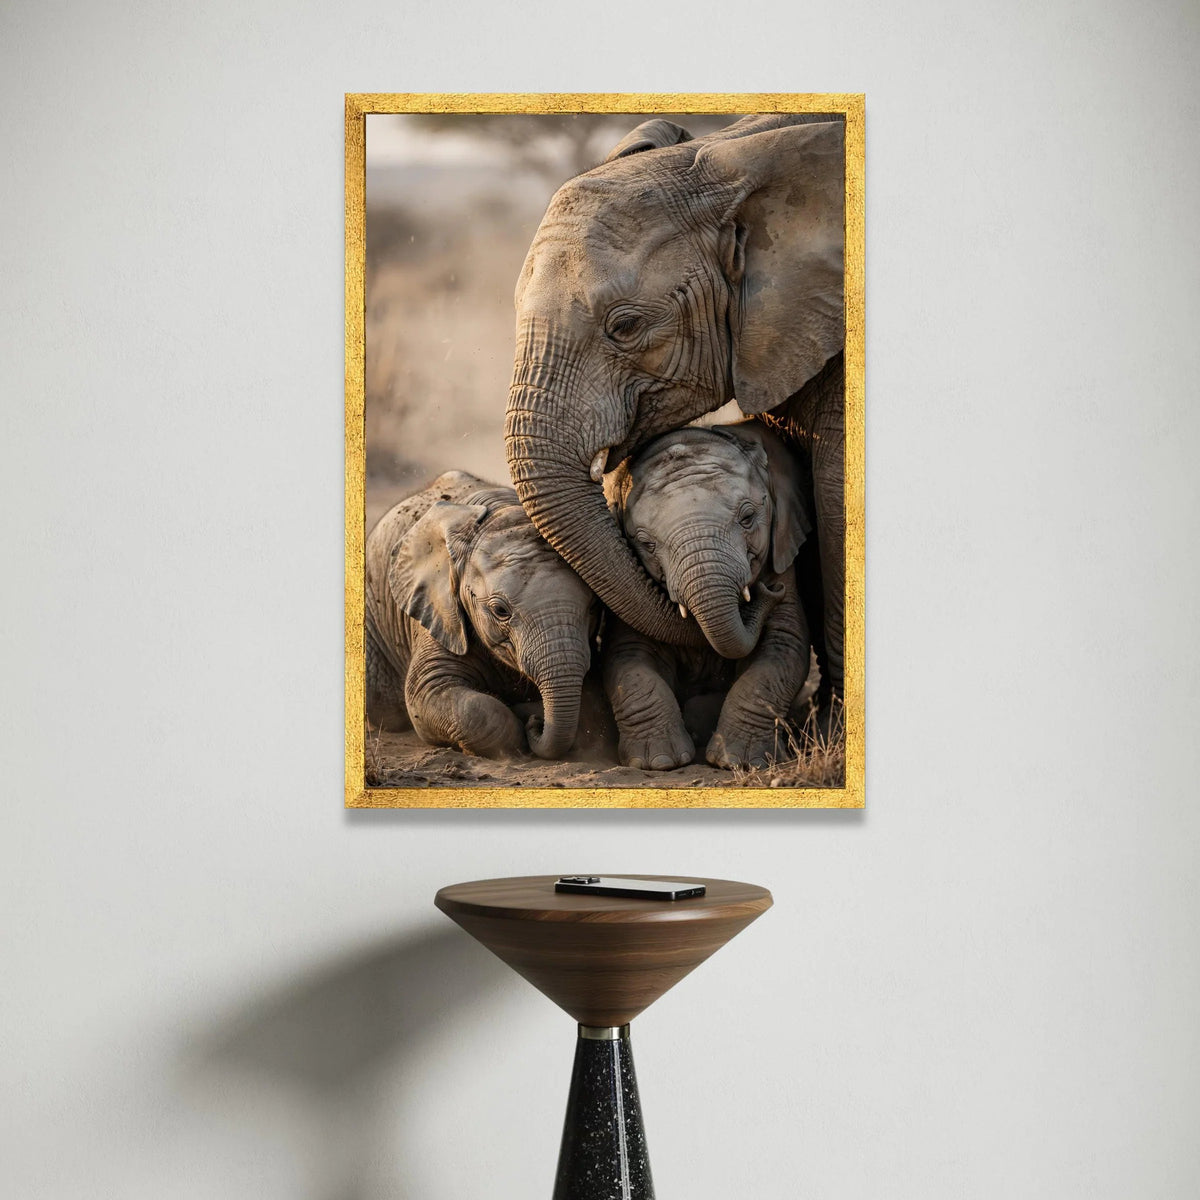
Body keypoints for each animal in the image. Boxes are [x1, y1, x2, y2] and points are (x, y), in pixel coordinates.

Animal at [364, 471, 598, 759]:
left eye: (593, 607)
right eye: (500, 611)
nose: (538, 722)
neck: (502, 512)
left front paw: (528, 710)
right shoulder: (441, 611)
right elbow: (430, 693)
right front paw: (522, 723)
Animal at [602, 423, 813, 768]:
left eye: (747, 518)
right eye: (645, 544)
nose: (771, 591)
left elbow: (782, 651)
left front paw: (740, 762)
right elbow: (628, 660)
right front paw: (659, 761)